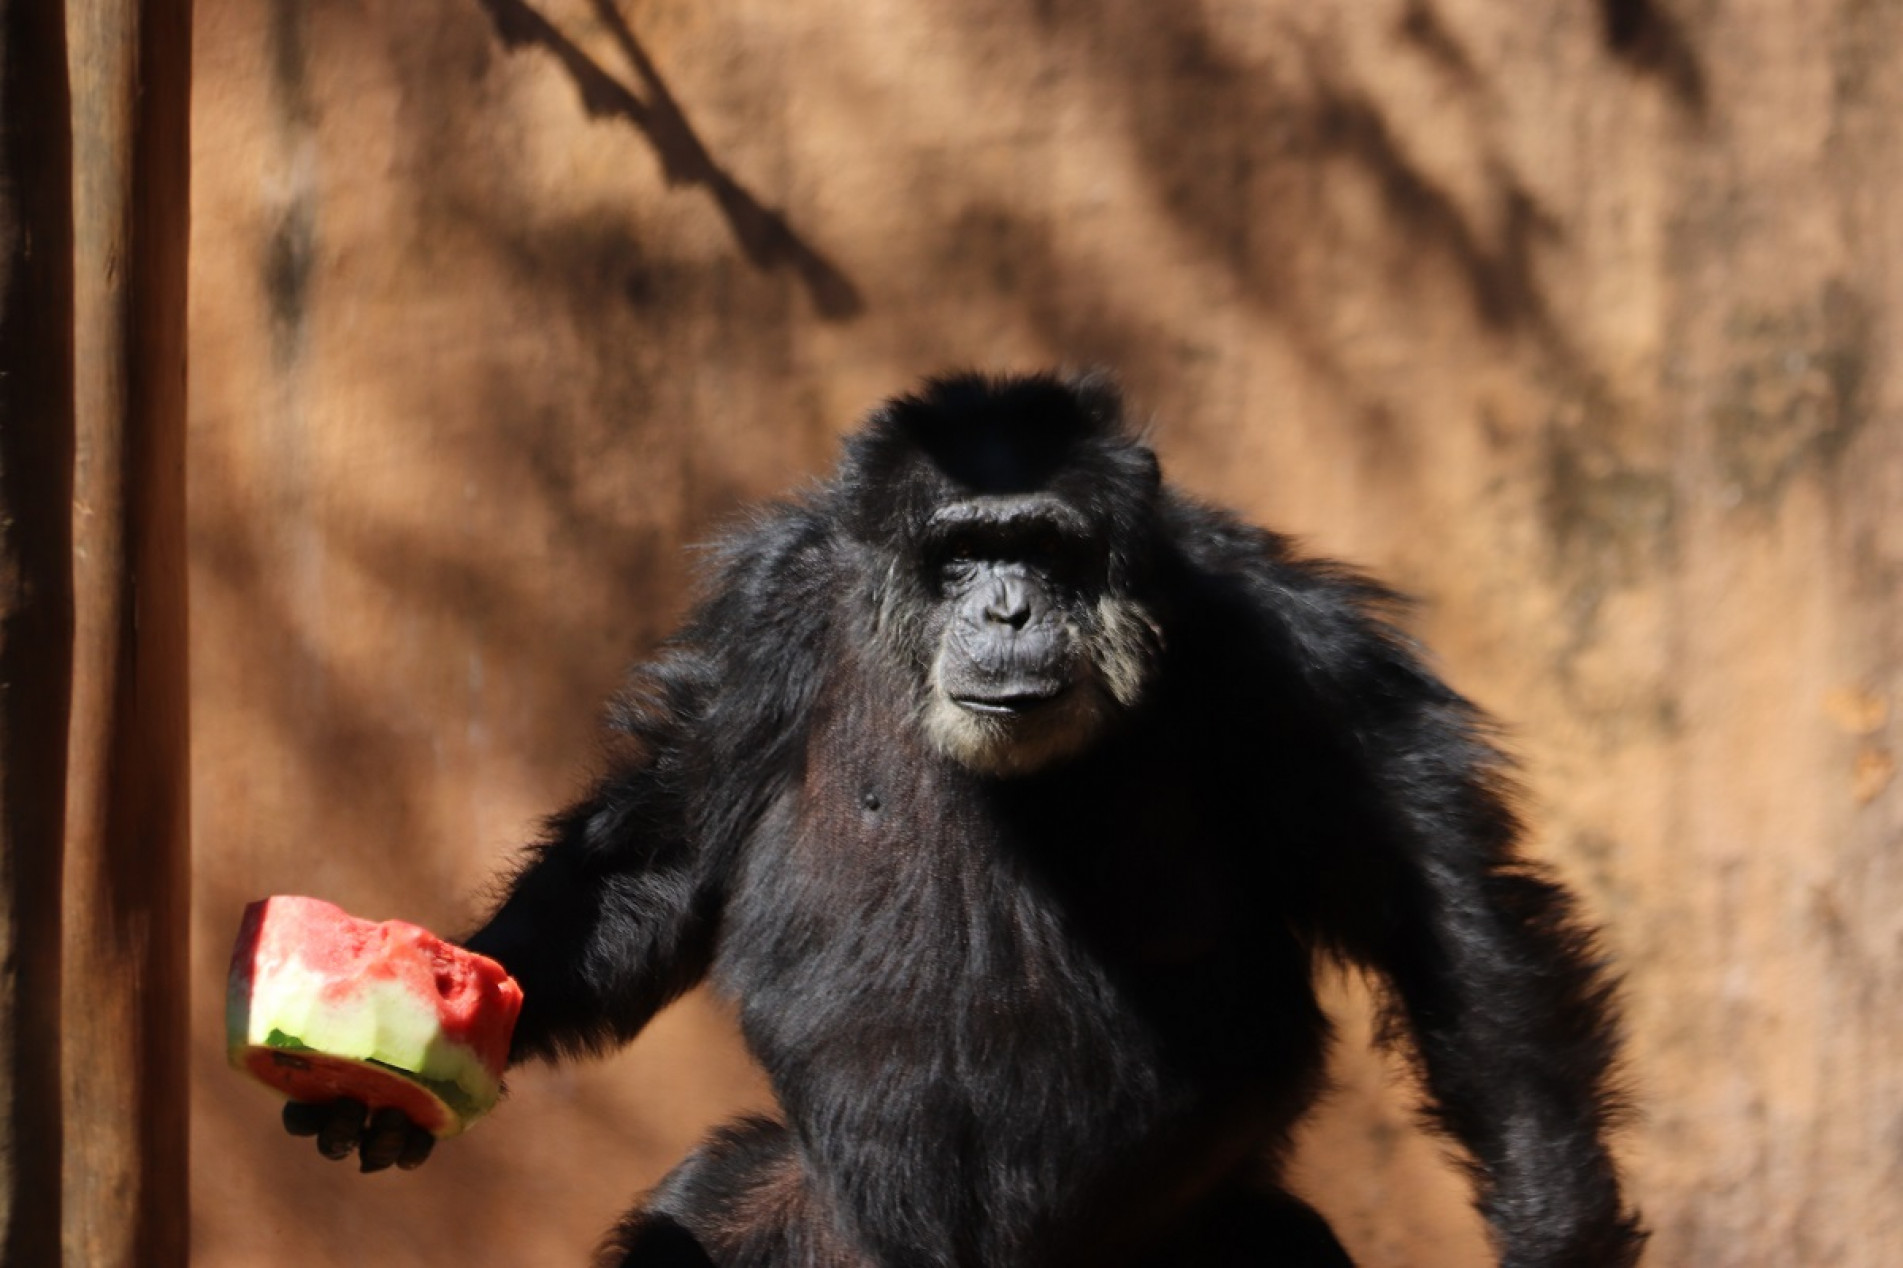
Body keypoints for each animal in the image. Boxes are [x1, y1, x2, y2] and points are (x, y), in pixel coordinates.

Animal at [289, 371, 1644, 1256]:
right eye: (959, 552)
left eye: (1043, 547)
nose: (1004, 605)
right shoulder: (760, 622)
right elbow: (658, 852)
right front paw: (408, 1042)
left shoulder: (1296, 652)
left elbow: (1439, 913)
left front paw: (1556, 1226)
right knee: (716, 1206)